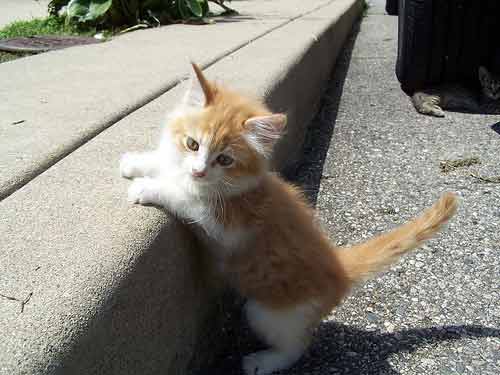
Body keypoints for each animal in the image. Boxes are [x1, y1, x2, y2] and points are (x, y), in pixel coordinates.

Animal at [120, 63, 458, 374]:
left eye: (224, 159)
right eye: (192, 144)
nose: (199, 171)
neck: (237, 186)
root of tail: (340, 267)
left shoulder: (227, 222)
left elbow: (185, 196)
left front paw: (149, 187)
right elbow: (169, 165)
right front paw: (139, 162)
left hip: (270, 311)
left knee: (297, 345)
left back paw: (265, 360)